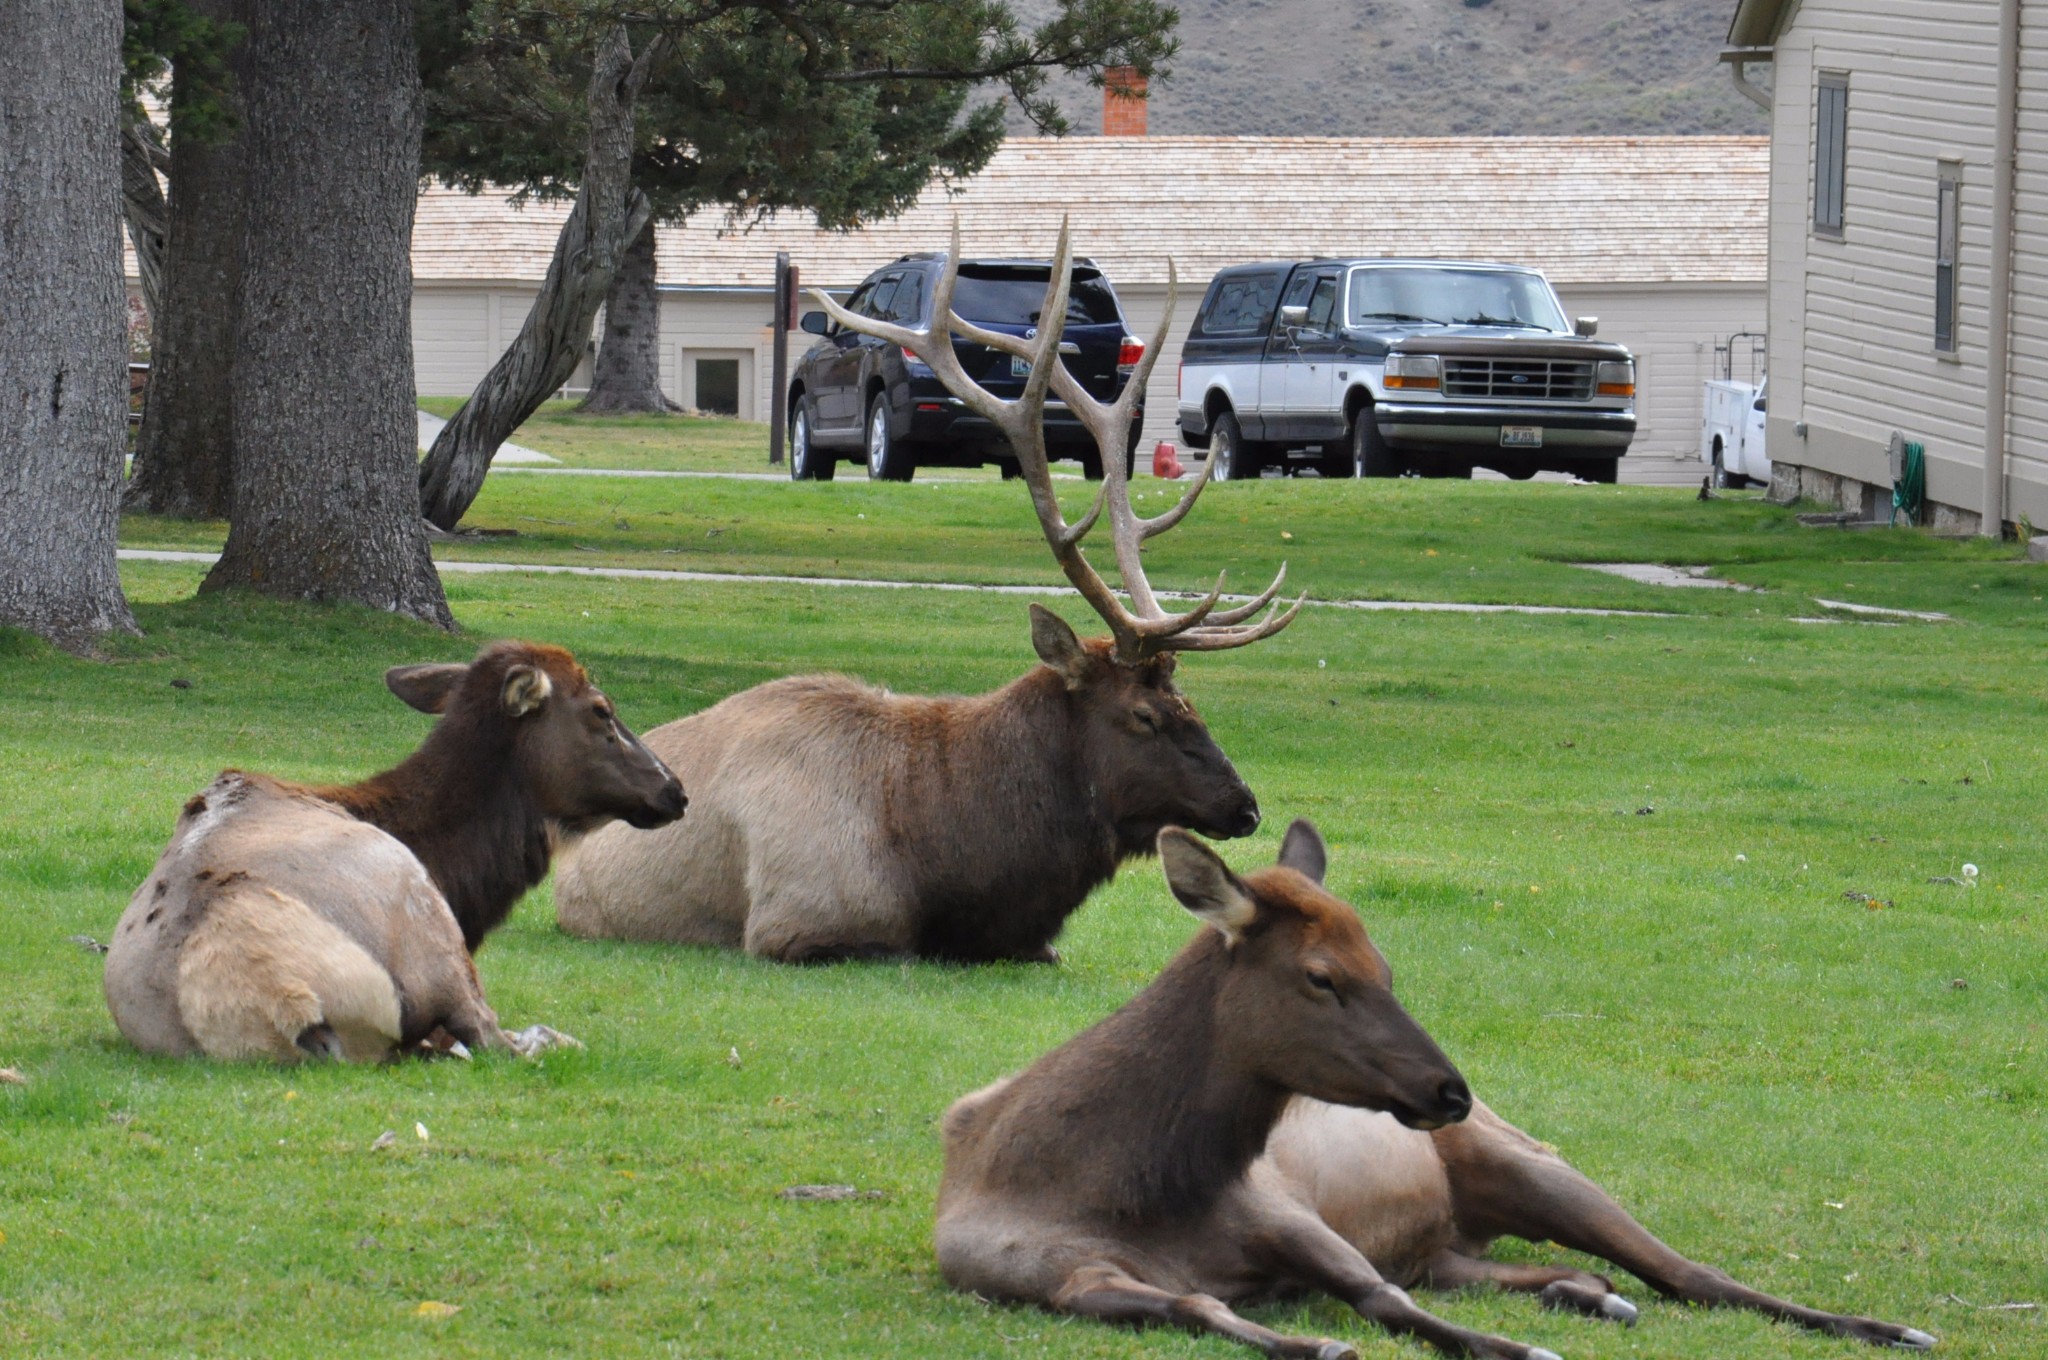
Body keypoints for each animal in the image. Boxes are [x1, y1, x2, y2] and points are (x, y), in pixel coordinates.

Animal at [552, 223, 1302, 962]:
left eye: (1188, 700)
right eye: (1144, 715)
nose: (1246, 806)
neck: (952, 853)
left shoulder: (1032, 945)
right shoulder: (797, 924)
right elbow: (894, 946)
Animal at [942, 819, 1933, 1360]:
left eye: (1386, 966)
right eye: (1322, 976)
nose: (1449, 1089)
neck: (1114, 1181)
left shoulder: (1286, 1208)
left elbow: (1381, 1300)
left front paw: (1516, 1349)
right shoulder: (1048, 1276)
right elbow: (1198, 1303)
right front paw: (1315, 1340)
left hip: (1532, 1163)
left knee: (1688, 1272)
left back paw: (1889, 1328)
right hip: (1449, 1245)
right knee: (1539, 1269)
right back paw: (1587, 1294)